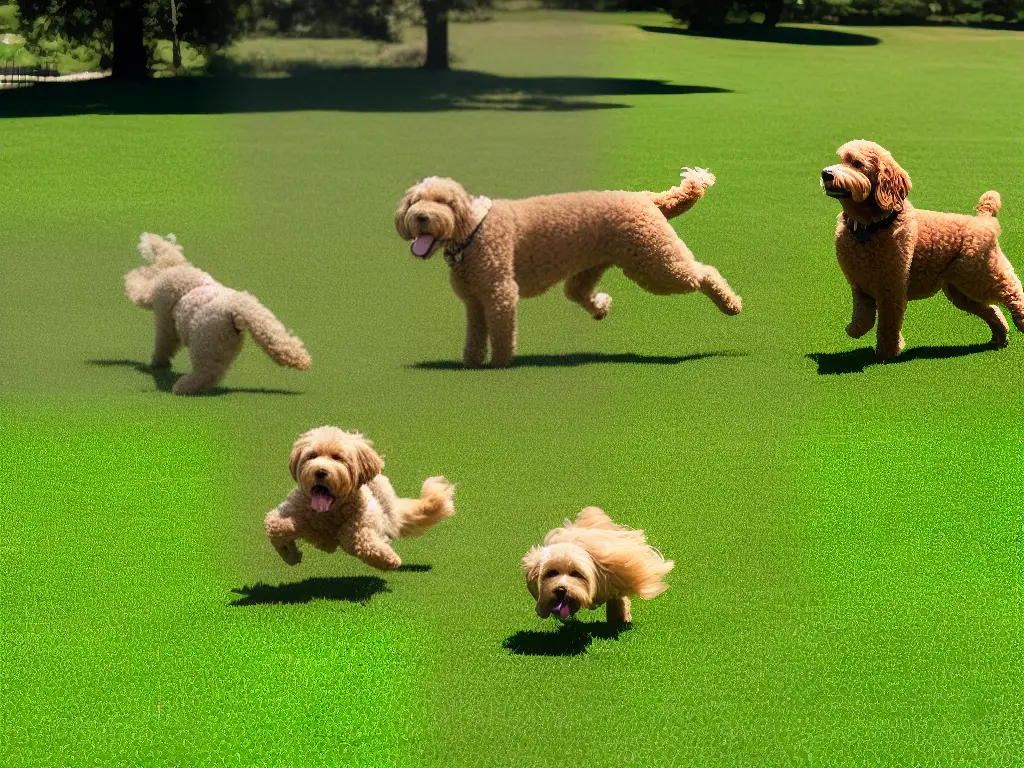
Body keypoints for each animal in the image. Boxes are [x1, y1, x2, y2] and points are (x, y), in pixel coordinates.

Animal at [123, 234, 309, 397]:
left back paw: (183, 387)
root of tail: (234, 309)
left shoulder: (164, 317)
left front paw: (158, 363)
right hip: (245, 328)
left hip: (205, 343)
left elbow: (163, 343)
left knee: (207, 372)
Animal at [264, 428, 456, 573]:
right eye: (312, 456)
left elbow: (352, 536)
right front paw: (291, 554)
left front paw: (387, 559)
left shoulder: (364, 518)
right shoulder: (293, 509)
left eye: (337, 457)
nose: (320, 471)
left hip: (386, 511)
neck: (330, 511)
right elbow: (274, 524)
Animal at [395, 167, 741, 370]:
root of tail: (644, 198)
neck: (473, 230)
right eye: (414, 202)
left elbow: (503, 332)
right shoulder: (474, 302)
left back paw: (731, 304)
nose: (421, 217)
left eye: (444, 202)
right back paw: (600, 307)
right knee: (577, 291)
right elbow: (475, 335)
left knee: (704, 272)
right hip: (595, 264)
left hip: (656, 263)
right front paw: (470, 361)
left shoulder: (499, 293)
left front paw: (500, 363)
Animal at [823, 140, 1024, 358]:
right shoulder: (860, 286)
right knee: (992, 309)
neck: (870, 226)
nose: (826, 174)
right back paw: (1000, 337)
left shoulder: (891, 288)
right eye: (842, 159)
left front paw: (887, 353)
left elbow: (888, 324)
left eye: (857, 164)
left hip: (981, 274)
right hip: (961, 290)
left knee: (1012, 290)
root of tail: (985, 219)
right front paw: (853, 329)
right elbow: (863, 318)